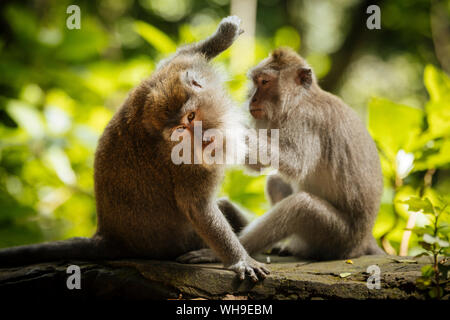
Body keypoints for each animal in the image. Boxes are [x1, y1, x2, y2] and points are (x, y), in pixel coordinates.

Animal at [0, 17, 268, 282]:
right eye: (180, 130)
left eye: (191, 116)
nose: (204, 139)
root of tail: (110, 236)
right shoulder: (185, 163)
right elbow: (198, 207)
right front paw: (239, 259)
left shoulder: (170, 73)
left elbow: (175, 58)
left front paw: (223, 37)